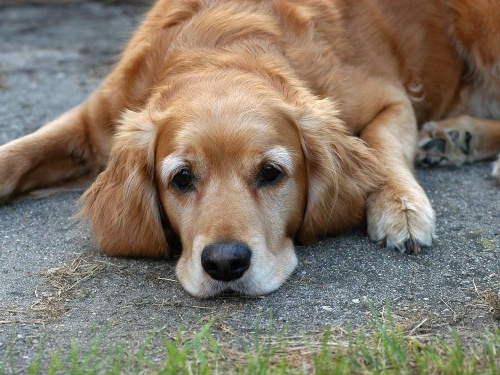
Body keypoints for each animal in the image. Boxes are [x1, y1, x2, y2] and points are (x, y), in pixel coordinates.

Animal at [0, 0, 498, 300]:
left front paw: (400, 207)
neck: (217, 48)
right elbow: (17, 154)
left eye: (271, 173)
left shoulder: (390, 96)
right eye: (181, 178)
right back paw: (456, 138)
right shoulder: (95, 121)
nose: (225, 263)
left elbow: (380, 146)